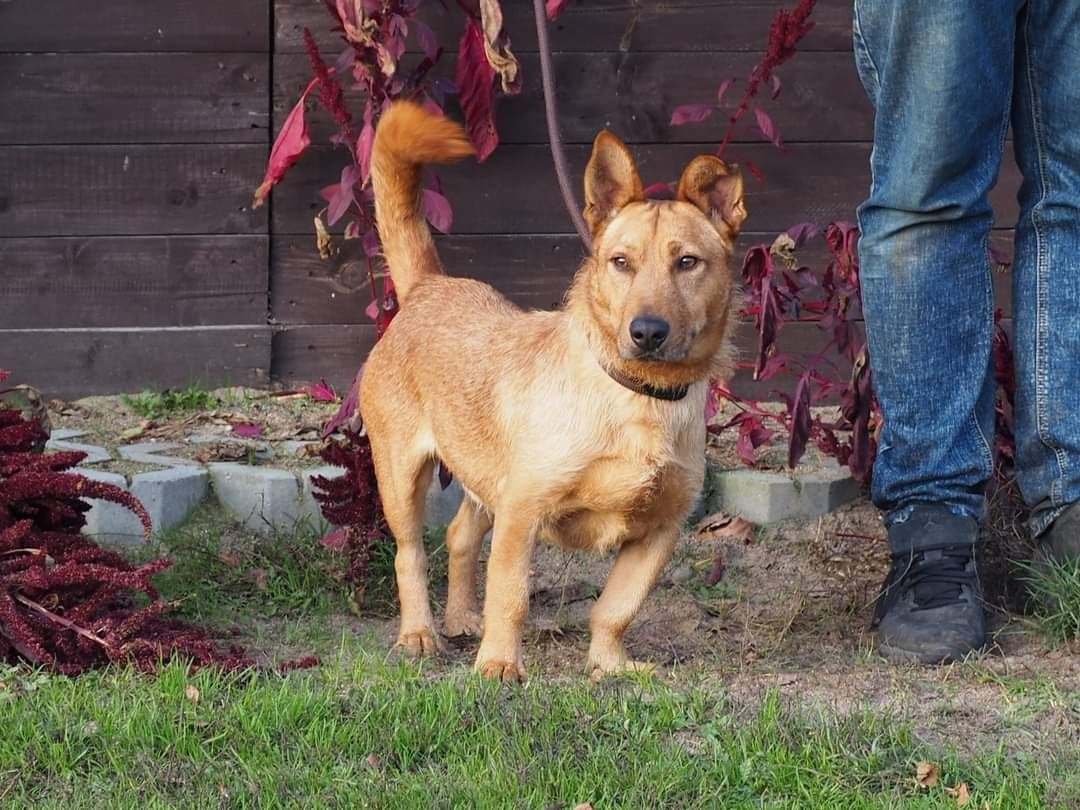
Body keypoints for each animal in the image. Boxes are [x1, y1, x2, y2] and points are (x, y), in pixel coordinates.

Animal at [358, 103, 747, 686]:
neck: (637, 401)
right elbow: (510, 596)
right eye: (620, 262)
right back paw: (420, 634)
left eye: (688, 262)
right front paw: (498, 664)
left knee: (459, 536)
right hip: (402, 478)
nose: (646, 331)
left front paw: (610, 665)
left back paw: (460, 618)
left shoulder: (659, 532)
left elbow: (616, 607)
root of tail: (431, 287)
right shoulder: (522, 512)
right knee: (410, 555)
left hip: (484, 478)